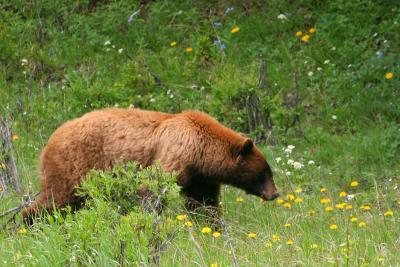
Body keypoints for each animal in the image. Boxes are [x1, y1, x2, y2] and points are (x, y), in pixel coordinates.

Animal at [21, 108, 278, 224]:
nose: (275, 194)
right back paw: (25, 224)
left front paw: (212, 226)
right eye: (264, 172)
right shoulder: (175, 156)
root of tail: (50, 140)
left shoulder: (200, 178)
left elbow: (204, 204)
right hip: (74, 165)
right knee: (55, 199)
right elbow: (153, 191)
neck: (202, 151)